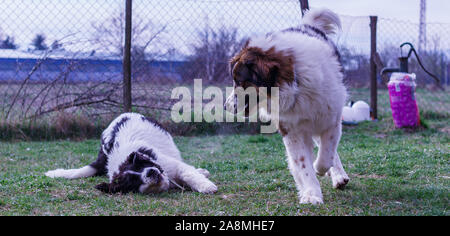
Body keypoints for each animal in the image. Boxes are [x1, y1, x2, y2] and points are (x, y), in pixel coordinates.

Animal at [44, 113, 218, 195]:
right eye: (133, 181)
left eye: (141, 165)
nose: (151, 172)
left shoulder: (169, 164)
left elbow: (188, 173)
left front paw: (207, 186)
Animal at [227, 8, 350, 205]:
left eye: (239, 81)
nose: (226, 106)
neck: (296, 83)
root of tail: (307, 25)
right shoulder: (291, 130)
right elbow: (302, 162)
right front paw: (311, 193)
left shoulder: (331, 120)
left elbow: (326, 154)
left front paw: (320, 169)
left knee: (329, 151)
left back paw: (338, 176)